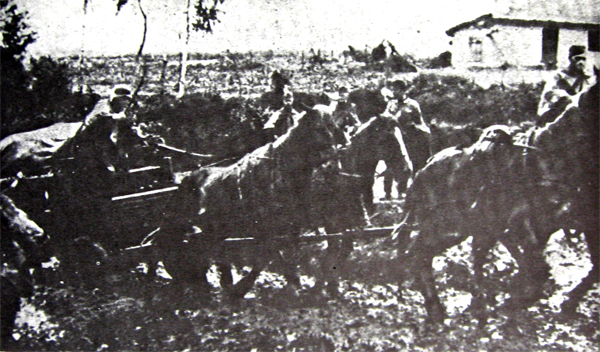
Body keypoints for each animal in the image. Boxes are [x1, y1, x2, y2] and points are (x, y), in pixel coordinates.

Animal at [155, 108, 340, 302]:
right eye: (319, 129)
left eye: (334, 128)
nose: (333, 164)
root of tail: (187, 179)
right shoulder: (263, 231)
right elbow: (267, 257)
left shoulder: (289, 229)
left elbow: (277, 255)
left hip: (214, 229)